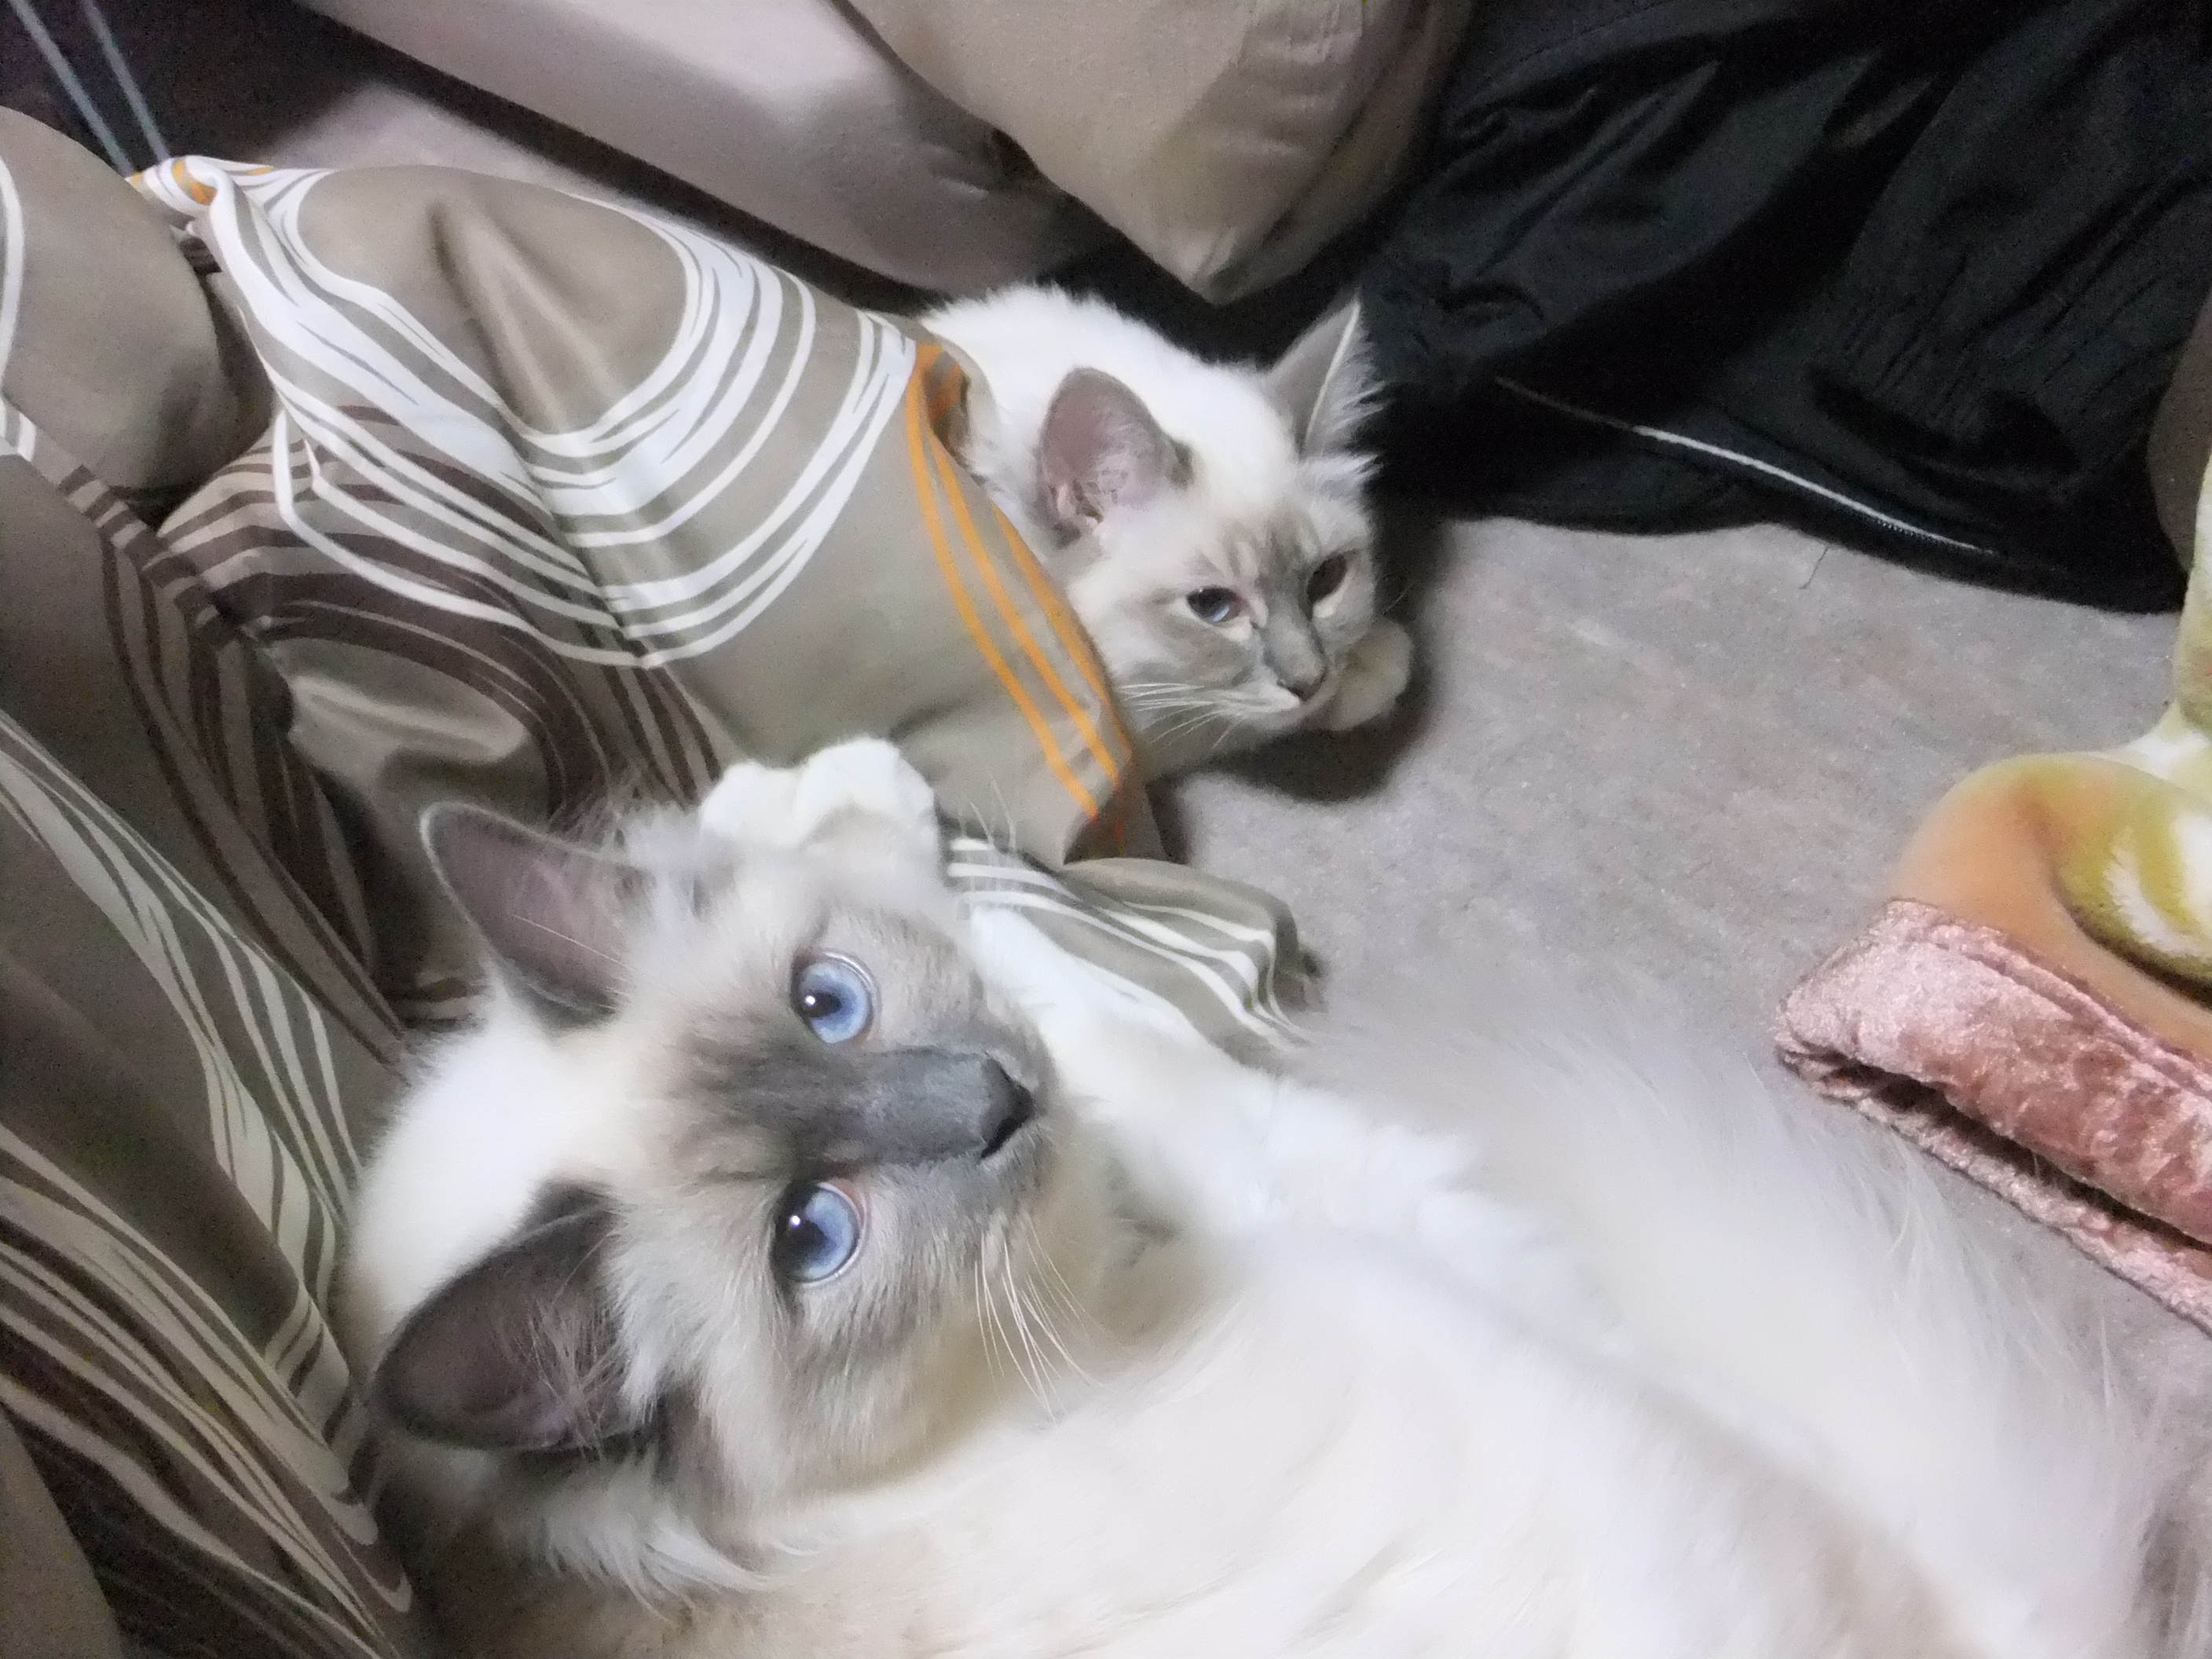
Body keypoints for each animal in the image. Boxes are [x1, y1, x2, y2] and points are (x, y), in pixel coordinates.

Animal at [340, 742, 2181, 1659]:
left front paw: (806, 793)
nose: (990, 1107)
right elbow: (1076, 991)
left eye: (828, 1006)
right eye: (813, 1237)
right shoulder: (1265, 1172)